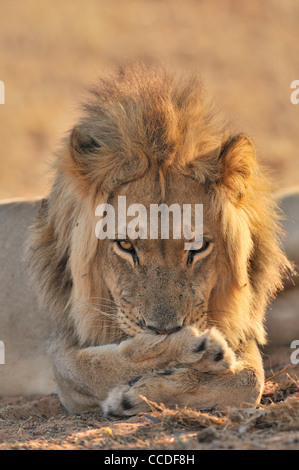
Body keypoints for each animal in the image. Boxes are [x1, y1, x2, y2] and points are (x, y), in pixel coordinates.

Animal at [0, 63, 296, 418]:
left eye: (197, 247)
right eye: (126, 246)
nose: (163, 329)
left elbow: (249, 380)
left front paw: (142, 393)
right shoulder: (63, 358)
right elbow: (108, 365)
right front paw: (192, 351)